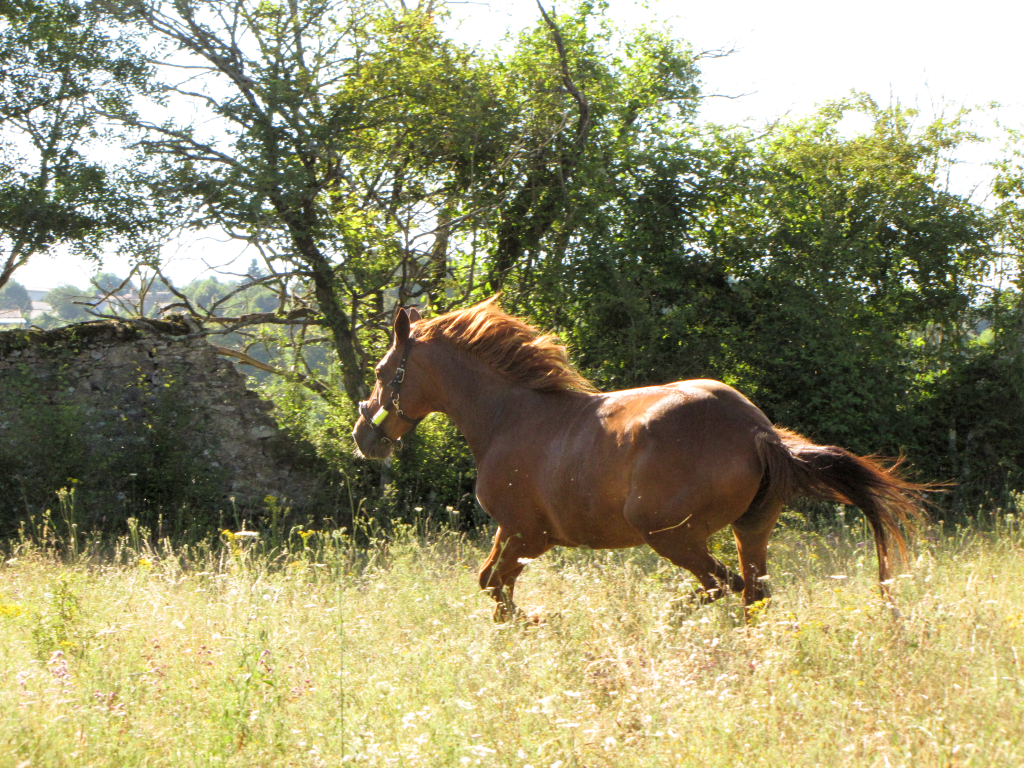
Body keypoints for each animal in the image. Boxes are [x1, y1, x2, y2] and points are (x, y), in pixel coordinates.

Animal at [352, 299, 929, 618]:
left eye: (382, 372)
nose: (364, 436)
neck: (506, 414)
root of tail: (756, 431)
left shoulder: (527, 535)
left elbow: (496, 587)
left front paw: (538, 623)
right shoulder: (510, 532)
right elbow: (489, 584)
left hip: (670, 535)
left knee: (723, 585)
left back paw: (671, 618)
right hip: (751, 530)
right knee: (753, 594)